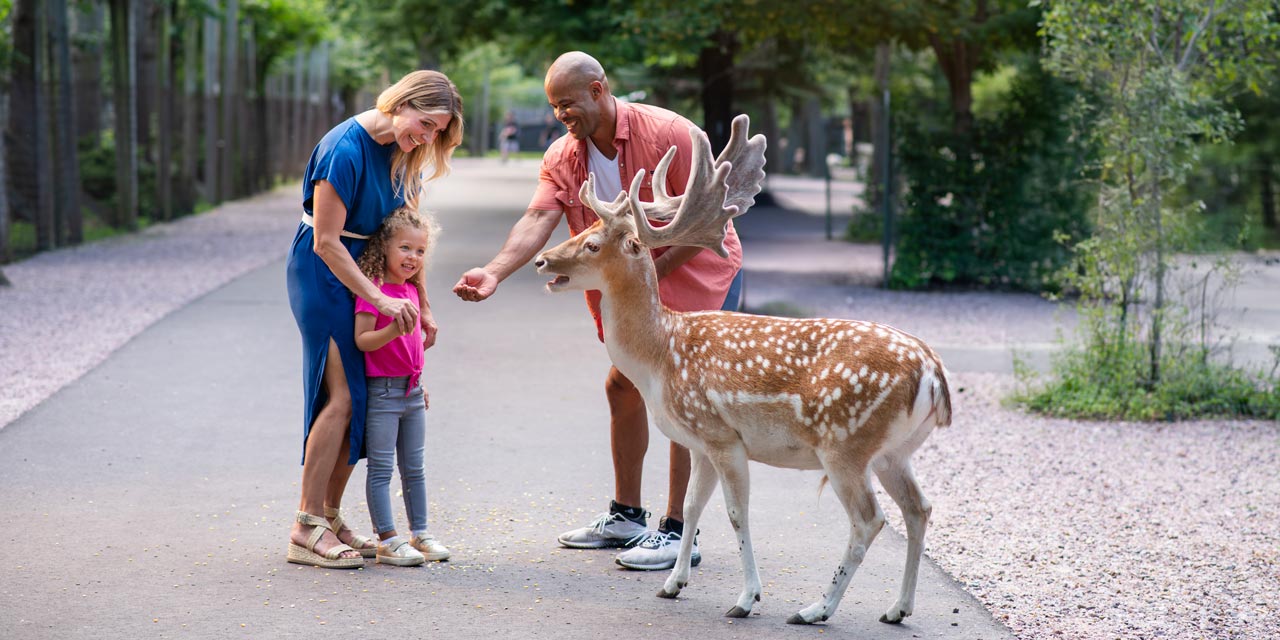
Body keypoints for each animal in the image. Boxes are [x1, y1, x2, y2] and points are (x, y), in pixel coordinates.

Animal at [533, 115, 952, 625]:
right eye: (584, 228)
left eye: (593, 244)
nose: (542, 260)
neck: (661, 354)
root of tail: (933, 374)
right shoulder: (698, 442)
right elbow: (692, 506)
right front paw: (672, 584)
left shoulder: (722, 435)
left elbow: (736, 514)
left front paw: (746, 598)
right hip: (894, 452)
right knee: (919, 508)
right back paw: (897, 608)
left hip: (845, 442)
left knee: (869, 519)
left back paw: (815, 609)